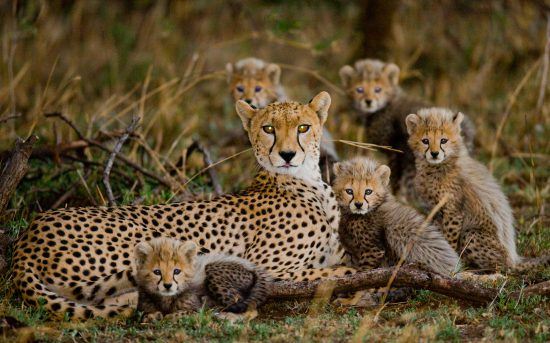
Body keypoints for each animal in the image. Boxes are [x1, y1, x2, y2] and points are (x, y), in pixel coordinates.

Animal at [16, 91, 358, 320]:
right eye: (268, 129)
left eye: (302, 128)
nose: (287, 155)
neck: (306, 180)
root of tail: (29, 234)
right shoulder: (270, 268)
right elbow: (333, 272)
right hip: (142, 238)